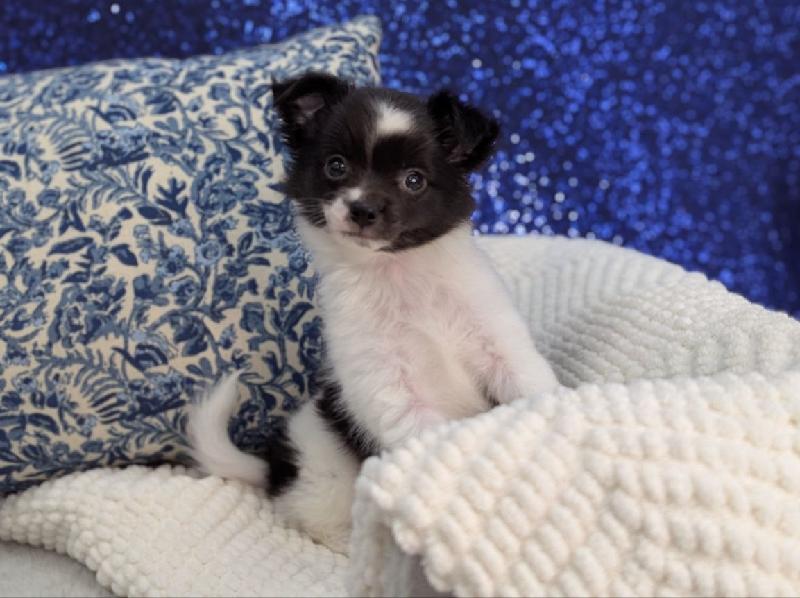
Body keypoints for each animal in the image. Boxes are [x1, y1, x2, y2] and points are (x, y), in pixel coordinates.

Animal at [188, 73, 560, 553]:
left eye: (414, 180)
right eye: (336, 167)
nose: (362, 208)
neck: (400, 277)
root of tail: (275, 469)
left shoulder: (501, 347)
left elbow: (532, 389)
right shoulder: (390, 388)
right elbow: (429, 448)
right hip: (325, 472)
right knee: (317, 518)